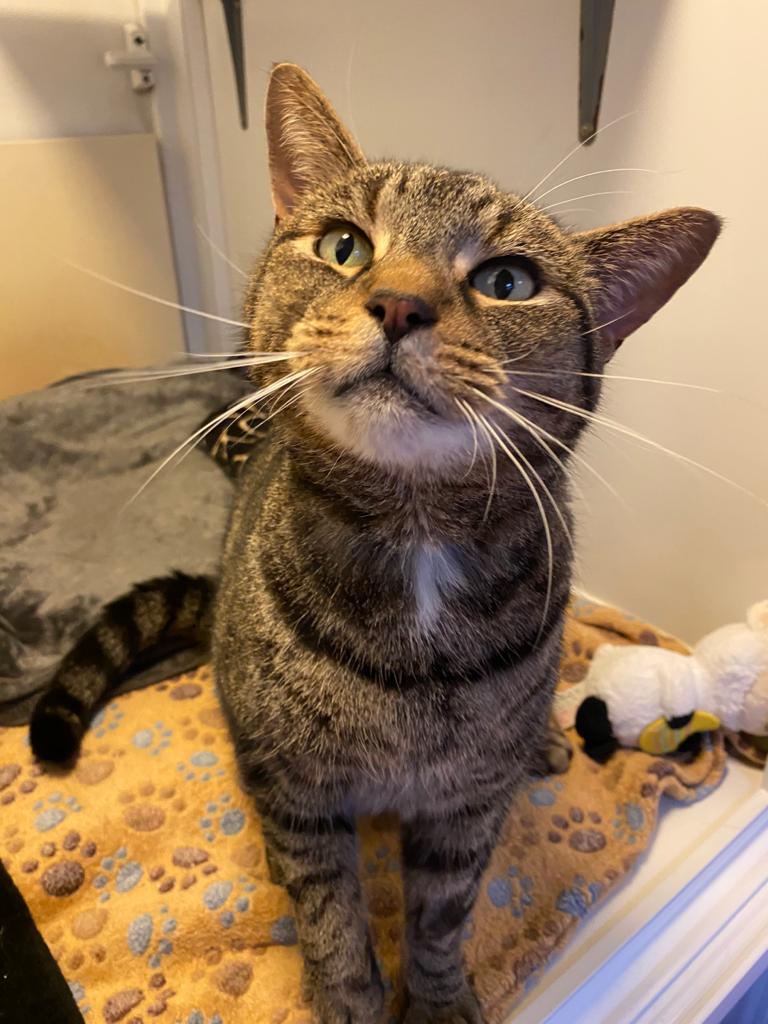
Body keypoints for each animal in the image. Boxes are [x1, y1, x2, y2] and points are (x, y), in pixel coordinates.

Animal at [30, 63, 719, 1024]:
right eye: (344, 246)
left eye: (508, 281)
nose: (400, 303)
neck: (414, 538)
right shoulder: (297, 787)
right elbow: (328, 904)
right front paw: (349, 993)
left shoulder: (464, 809)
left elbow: (442, 914)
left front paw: (436, 998)